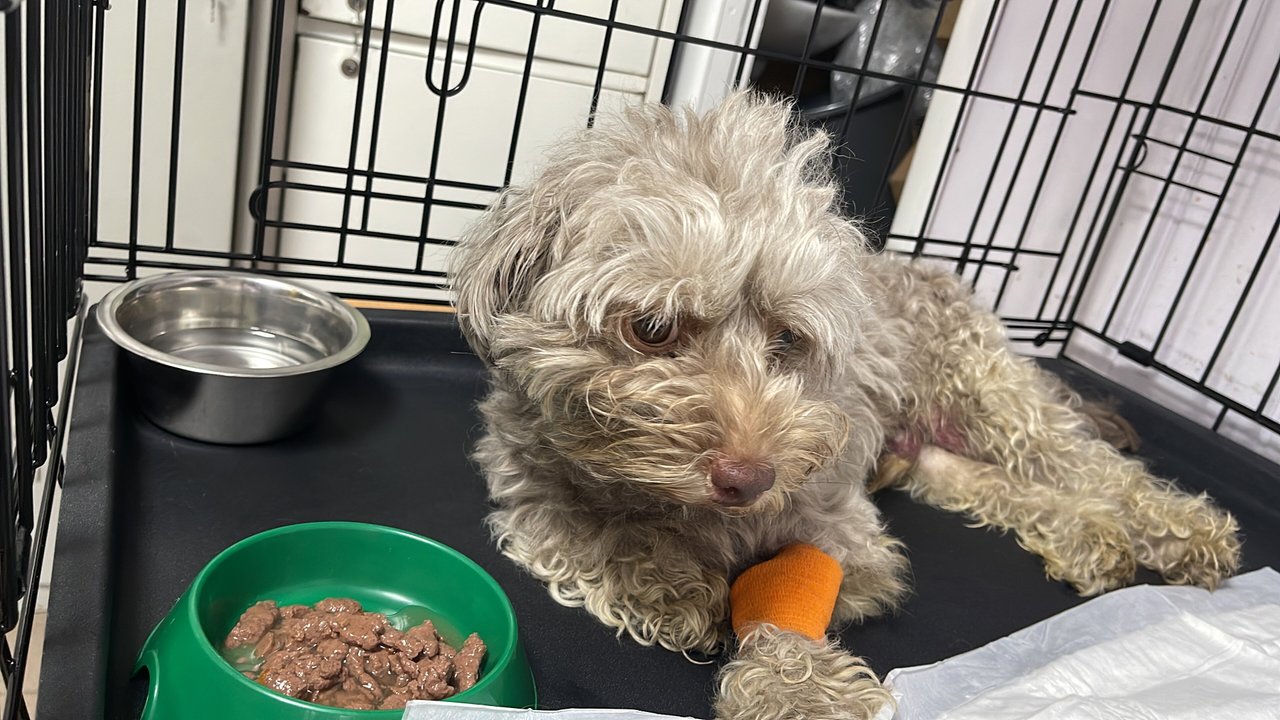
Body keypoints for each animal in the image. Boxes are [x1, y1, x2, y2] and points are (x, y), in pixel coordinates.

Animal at [451, 92, 1242, 720]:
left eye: (788, 337)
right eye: (652, 327)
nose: (750, 480)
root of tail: (943, 274)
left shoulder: (836, 520)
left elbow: (788, 595)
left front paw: (798, 692)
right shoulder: (528, 482)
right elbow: (585, 526)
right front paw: (657, 575)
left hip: (985, 388)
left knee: (1091, 464)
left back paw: (1180, 530)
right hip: (925, 447)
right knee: (985, 481)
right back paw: (1092, 537)